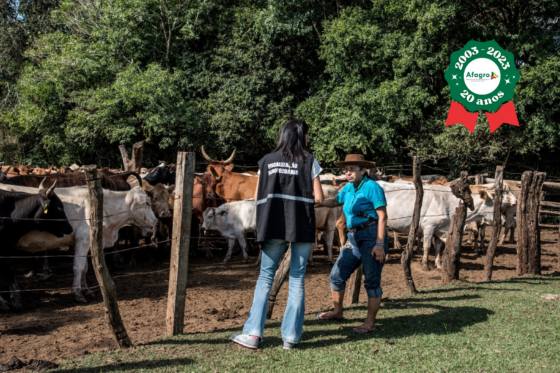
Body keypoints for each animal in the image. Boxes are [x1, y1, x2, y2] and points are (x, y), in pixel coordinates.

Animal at [0, 184, 159, 302]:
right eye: (147, 203)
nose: (156, 221)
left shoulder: (88, 243)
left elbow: (85, 268)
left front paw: (86, 290)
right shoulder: (82, 240)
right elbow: (78, 267)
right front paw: (78, 294)